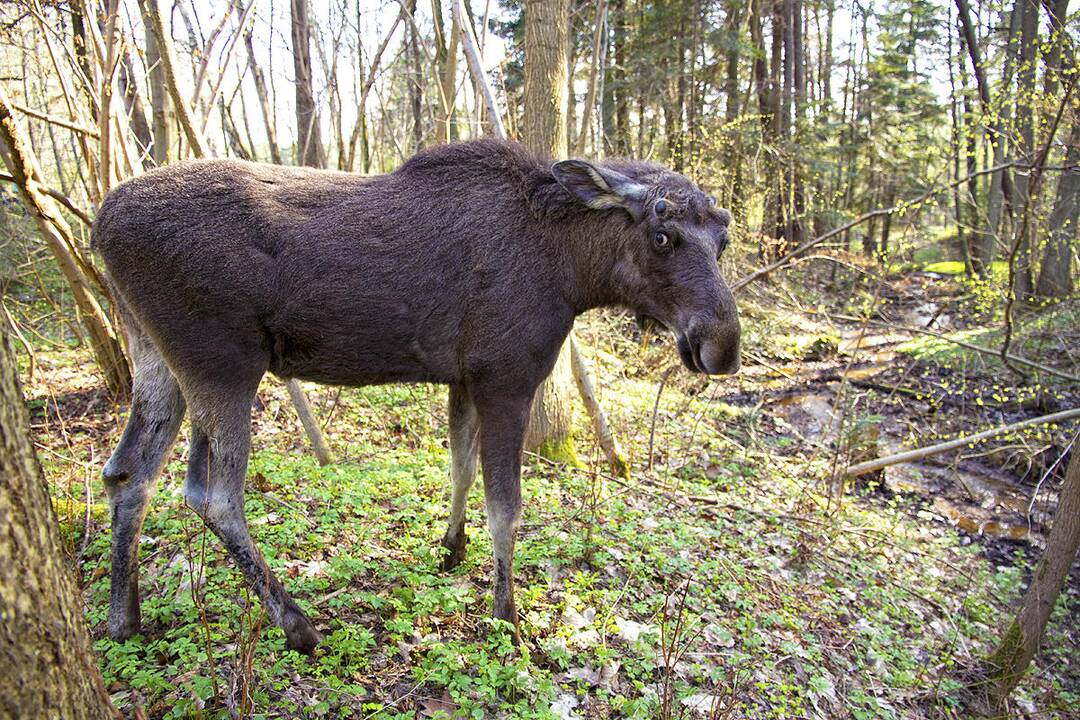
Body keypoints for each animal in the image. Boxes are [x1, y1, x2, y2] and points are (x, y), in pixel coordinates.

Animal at [92, 136, 738, 651]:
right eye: (662, 235)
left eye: (723, 239)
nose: (723, 346)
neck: (574, 274)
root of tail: (98, 227)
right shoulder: (507, 379)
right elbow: (506, 507)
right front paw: (508, 618)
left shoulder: (465, 378)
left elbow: (460, 469)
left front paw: (450, 548)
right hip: (221, 364)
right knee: (212, 494)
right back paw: (297, 624)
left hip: (157, 358)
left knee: (127, 472)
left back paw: (124, 620)